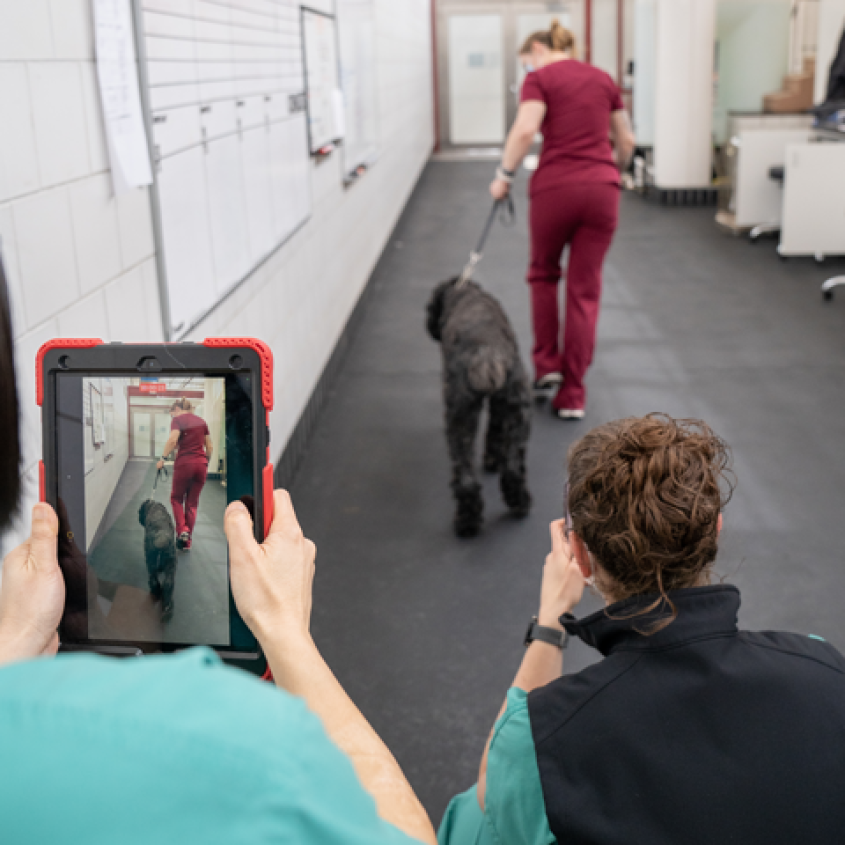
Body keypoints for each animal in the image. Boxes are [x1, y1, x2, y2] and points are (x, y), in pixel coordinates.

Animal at [428, 280, 528, 536]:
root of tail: (485, 354)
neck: (463, 291)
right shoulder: (501, 405)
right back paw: (517, 504)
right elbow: (494, 433)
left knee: (467, 478)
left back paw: (467, 522)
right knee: (512, 467)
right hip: (516, 411)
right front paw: (492, 460)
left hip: (461, 420)